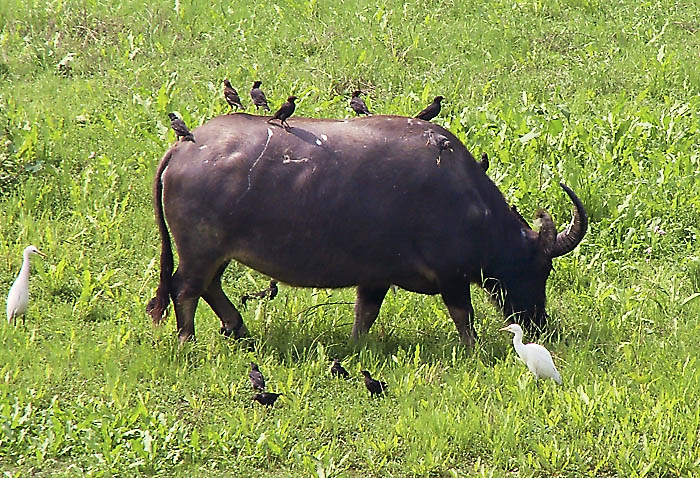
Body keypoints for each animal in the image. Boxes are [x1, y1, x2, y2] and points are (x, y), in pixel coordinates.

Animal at [146, 113, 584, 344]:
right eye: (540, 268)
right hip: (200, 248)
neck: (467, 199)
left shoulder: (376, 276)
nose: (539, 324)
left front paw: (357, 346)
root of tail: (184, 146)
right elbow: (463, 314)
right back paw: (188, 340)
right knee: (185, 289)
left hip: (215, 252)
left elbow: (365, 313)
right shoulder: (453, 276)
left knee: (208, 286)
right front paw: (473, 348)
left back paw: (237, 327)